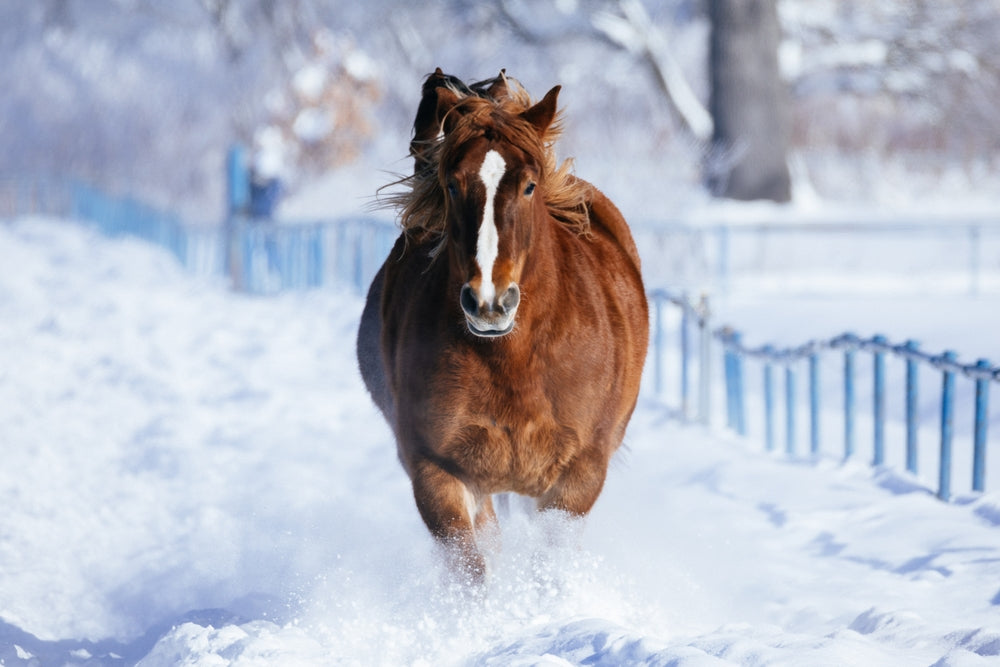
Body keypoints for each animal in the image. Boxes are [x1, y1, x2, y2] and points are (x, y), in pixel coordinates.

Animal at [357, 69, 648, 583]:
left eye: (530, 186)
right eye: (452, 185)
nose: (489, 303)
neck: (514, 362)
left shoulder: (579, 475)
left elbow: (549, 569)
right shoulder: (437, 470)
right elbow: (470, 573)